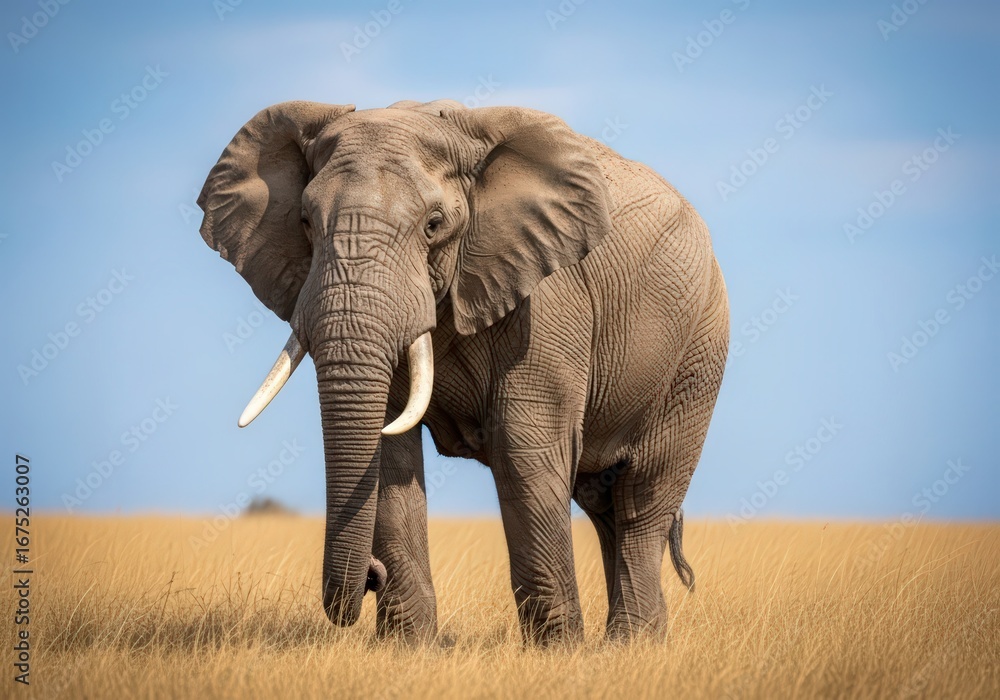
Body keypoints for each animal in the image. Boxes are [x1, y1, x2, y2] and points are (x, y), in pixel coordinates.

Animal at [196, 98, 729, 645]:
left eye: (434, 224)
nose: (370, 576)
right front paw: (407, 648)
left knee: (643, 498)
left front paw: (558, 652)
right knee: (603, 504)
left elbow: (523, 447)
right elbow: (390, 453)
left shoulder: (548, 297)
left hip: (698, 353)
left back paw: (628, 644)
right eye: (304, 221)